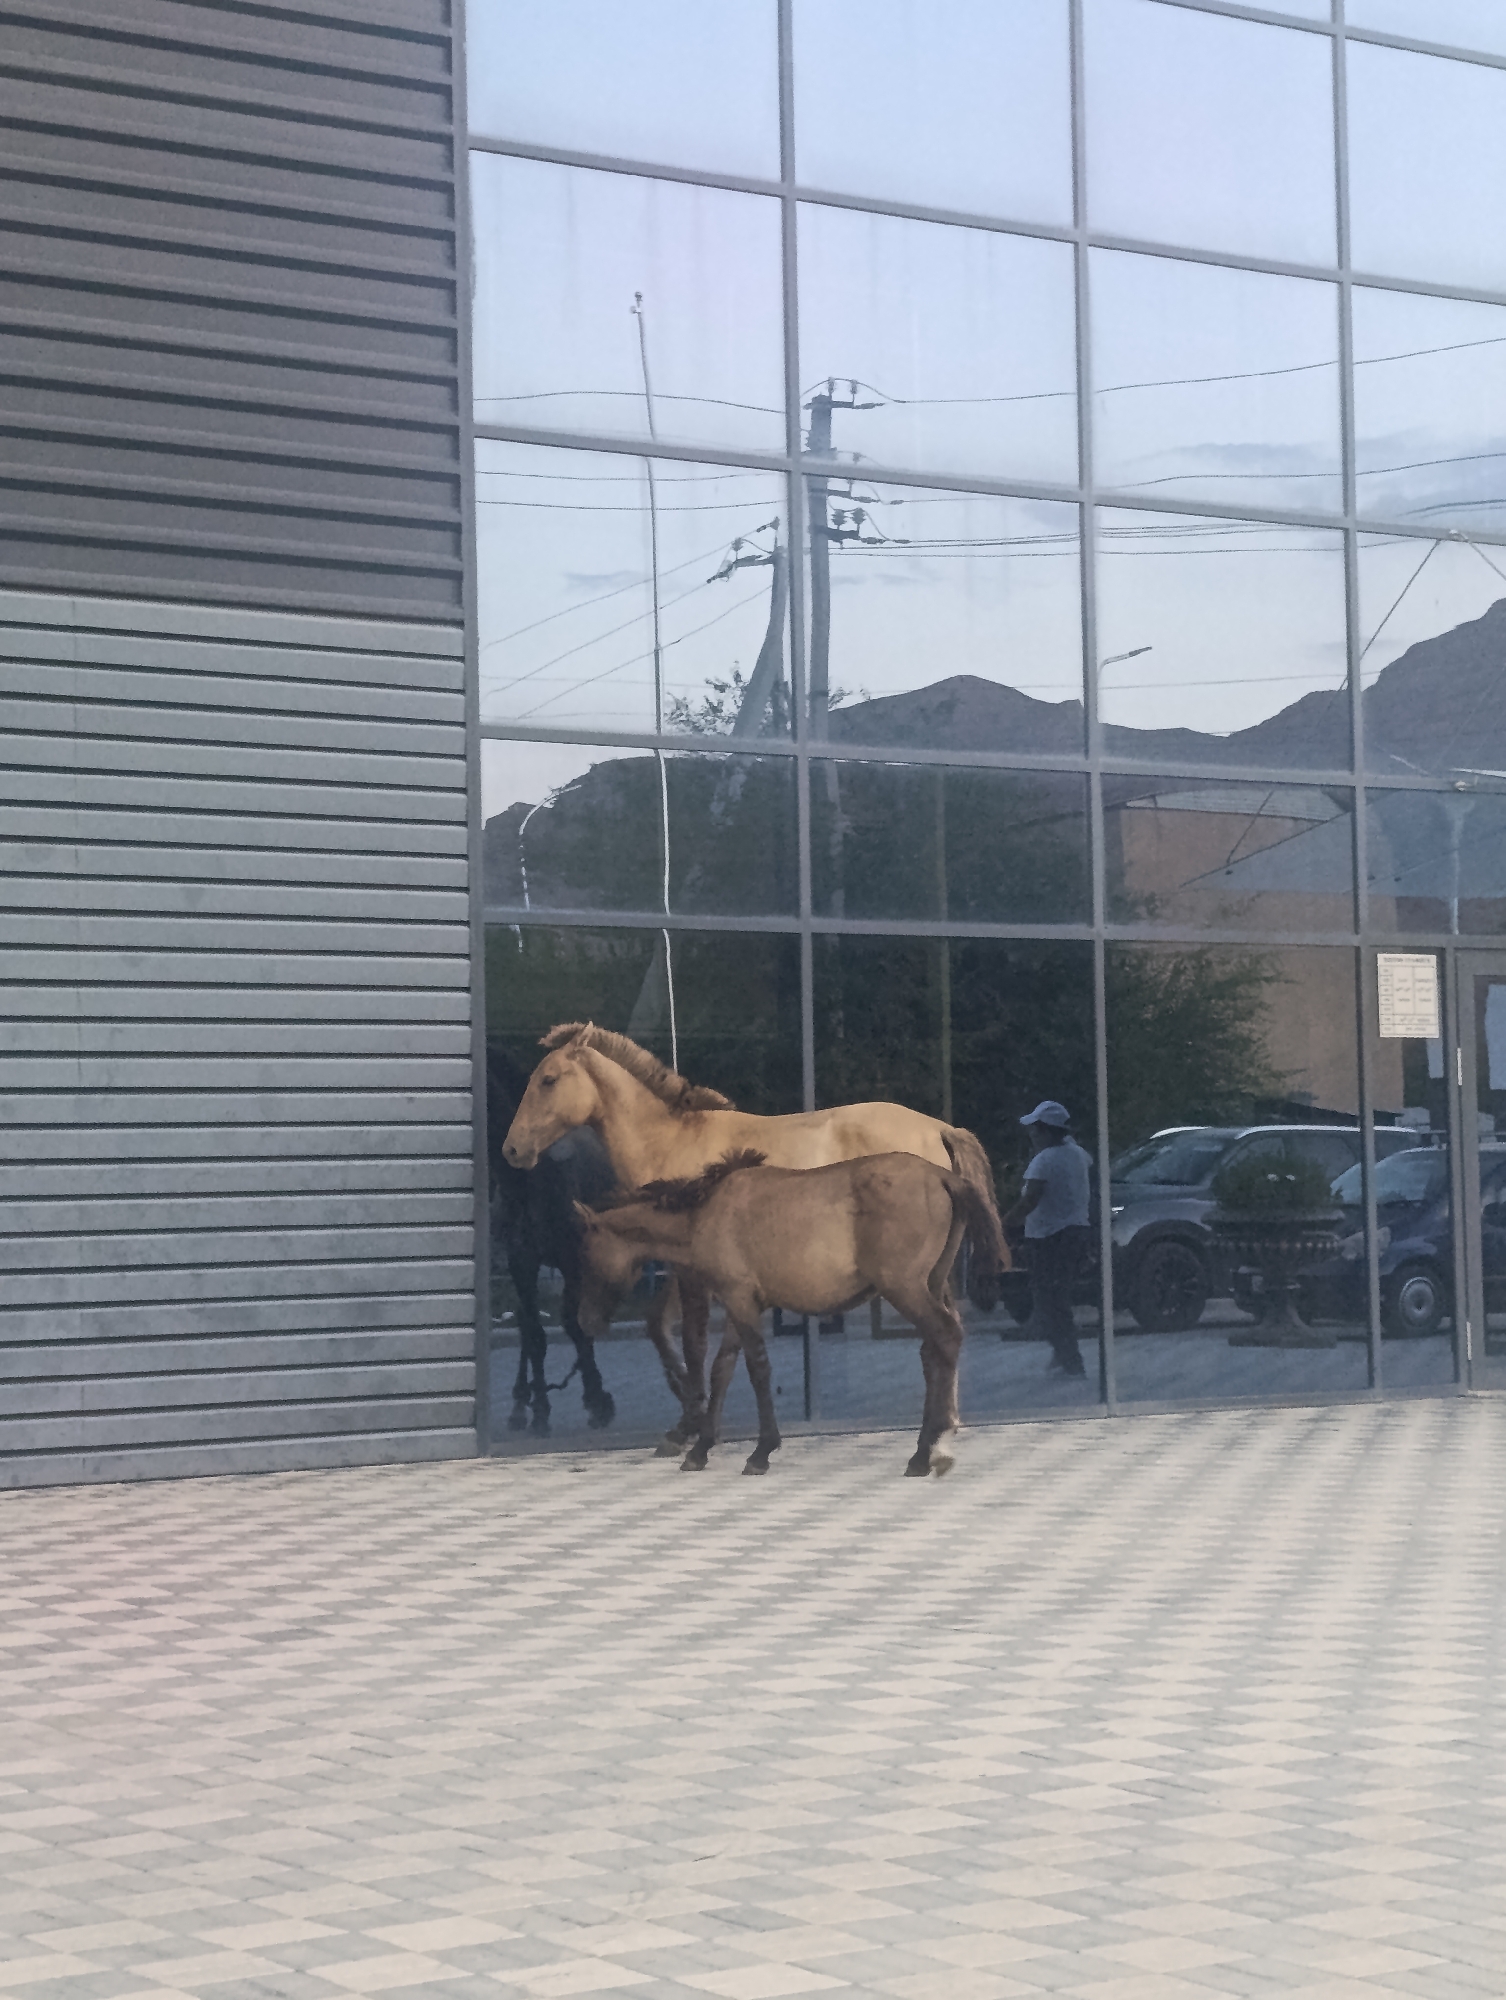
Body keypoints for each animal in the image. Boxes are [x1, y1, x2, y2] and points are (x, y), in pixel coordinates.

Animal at [486, 1045, 616, 1435]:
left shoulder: (574, 1260)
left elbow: (574, 1324)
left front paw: (596, 1399)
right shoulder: (521, 1263)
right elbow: (536, 1334)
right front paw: (541, 1407)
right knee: (526, 1326)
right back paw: (520, 1403)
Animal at [575, 1144, 1006, 1477]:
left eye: (587, 1254)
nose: (584, 1320)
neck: (703, 1213)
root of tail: (943, 1176)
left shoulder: (740, 1300)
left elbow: (756, 1370)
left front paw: (761, 1451)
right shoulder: (741, 1303)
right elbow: (722, 1370)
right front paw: (701, 1449)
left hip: (905, 1289)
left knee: (945, 1337)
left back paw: (925, 1452)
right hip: (928, 1285)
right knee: (934, 1351)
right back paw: (933, 1446)